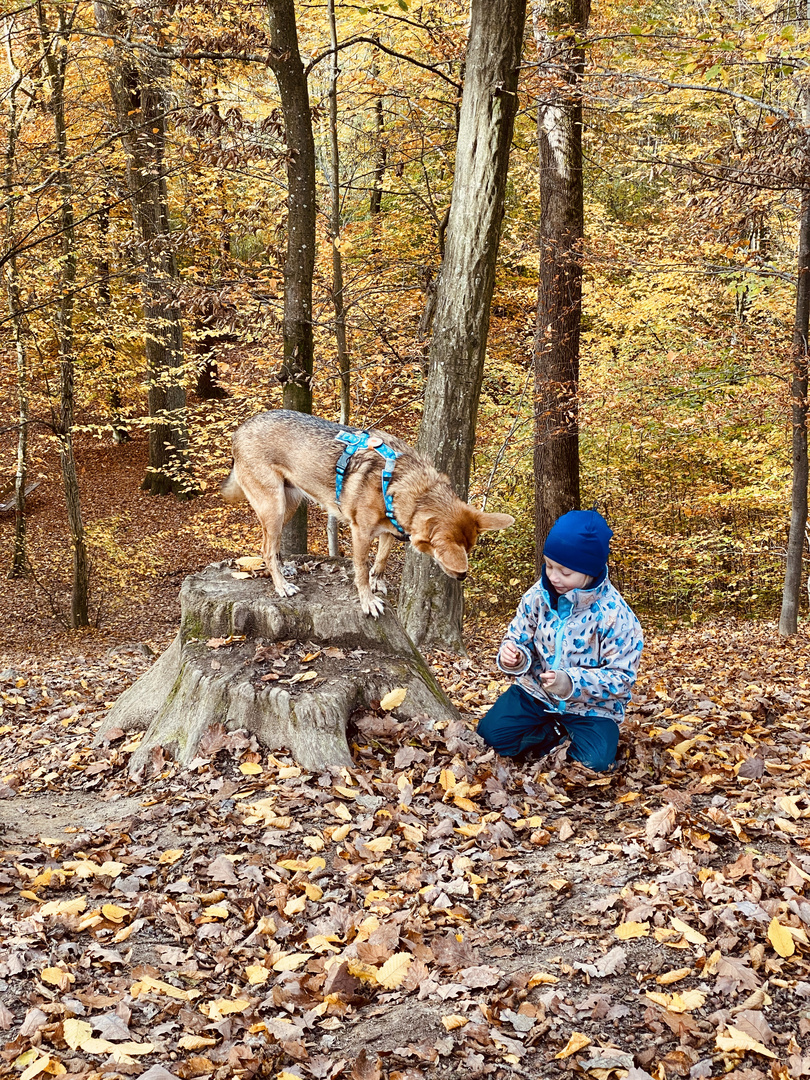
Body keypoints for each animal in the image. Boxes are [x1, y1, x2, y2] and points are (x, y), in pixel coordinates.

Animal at [222, 408, 514, 617]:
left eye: (471, 548)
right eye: (452, 552)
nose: (463, 576)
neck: (402, 485)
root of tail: (239, 430)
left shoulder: (390, 530)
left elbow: (381, 560)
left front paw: (377, 582)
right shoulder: (360, 533)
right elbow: (361, 570)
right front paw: (368, 601)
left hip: (289, 507)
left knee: (271, 548)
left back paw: (285, 572)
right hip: (275, 507)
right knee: (266, 549)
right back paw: (282, 586)